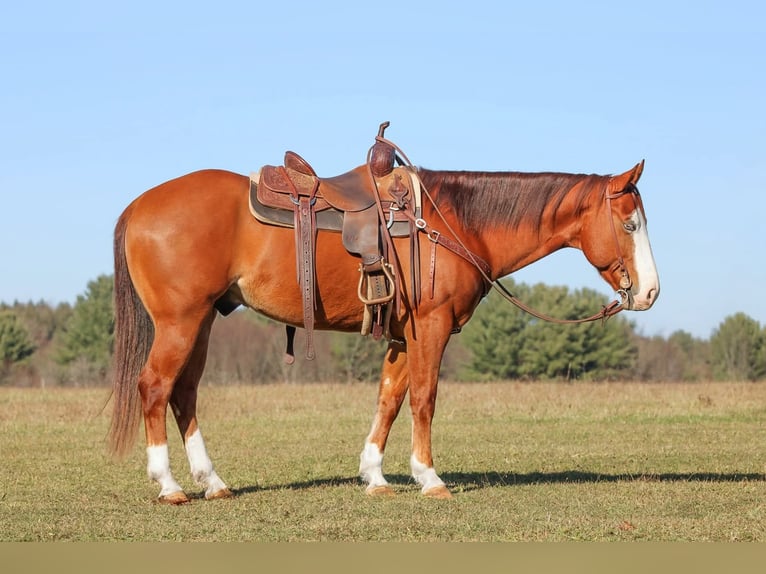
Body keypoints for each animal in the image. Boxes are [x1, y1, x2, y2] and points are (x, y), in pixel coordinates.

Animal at [108, 144, 659, 503]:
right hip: (180, 323)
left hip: (201, 323)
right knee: (154, 387)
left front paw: (375, 475)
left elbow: (389, 400)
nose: (650, 292)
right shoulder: (430, 327)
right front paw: (429, 477)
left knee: (184, 394)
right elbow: (423, 398)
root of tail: (137, 206)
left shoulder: (401, 335)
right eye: (630, 224)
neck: (453, 223)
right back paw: (170, 486)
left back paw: (213, 482)